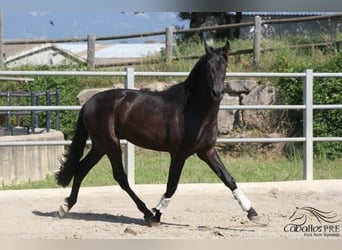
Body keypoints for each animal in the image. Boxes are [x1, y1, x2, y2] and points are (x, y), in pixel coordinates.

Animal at [55, 42, 260, 226]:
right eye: (208, 67)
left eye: (224, 66)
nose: (217, 92)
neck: (193, 111)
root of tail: (88, 103)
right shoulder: (179, 154)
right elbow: (172, 186)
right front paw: (157, 215)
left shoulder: (207, 151)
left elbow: (228, 179)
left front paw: (252, 213)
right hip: (110, 144)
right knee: (120, 177)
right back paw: (146, 213)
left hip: (100, 145)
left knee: (81, 169)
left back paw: (65, 206)